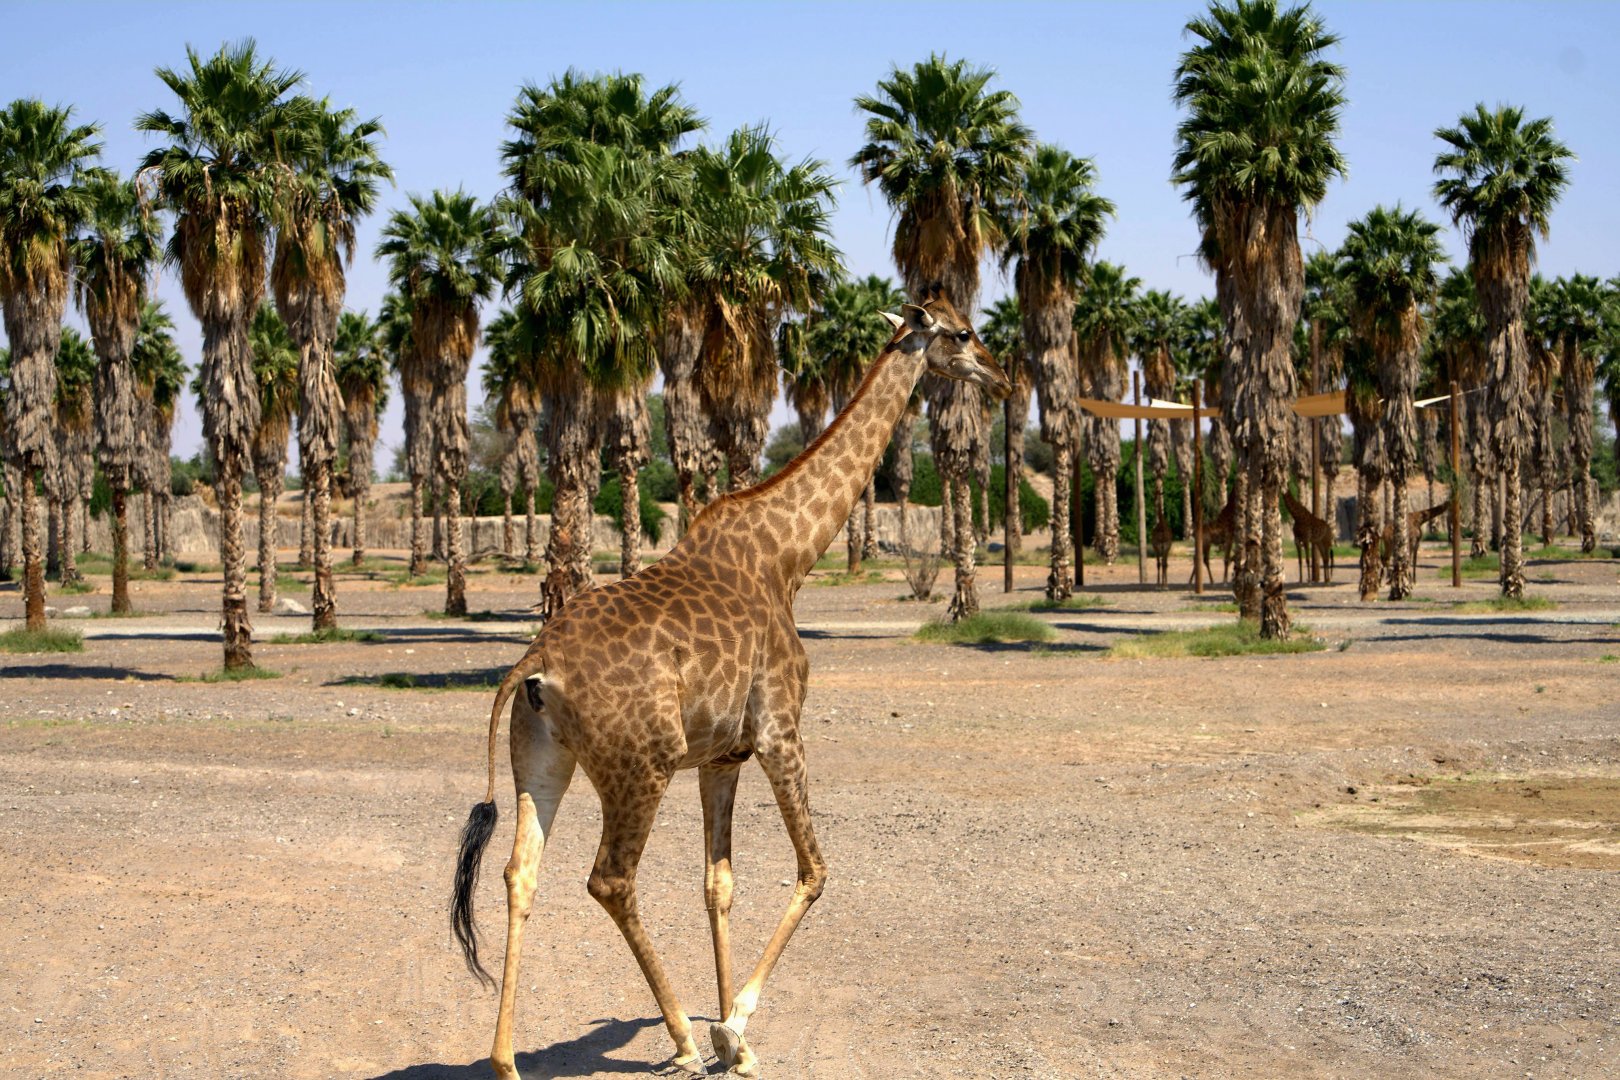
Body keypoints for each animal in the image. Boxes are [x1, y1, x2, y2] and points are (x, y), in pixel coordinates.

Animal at [451, 294, 1010, 1080]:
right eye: (962, 334)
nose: (1001, 377)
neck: (788, 557)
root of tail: (533, 665)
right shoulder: (780, 731)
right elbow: (814, 871)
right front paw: (731, 1025)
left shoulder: (720, 756)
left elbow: (719, 884)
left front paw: (735, 1044)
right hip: (639, 765)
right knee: (609, 879)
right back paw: (682, 1037)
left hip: (542, 760)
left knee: (518, 872)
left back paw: (505, 1059)